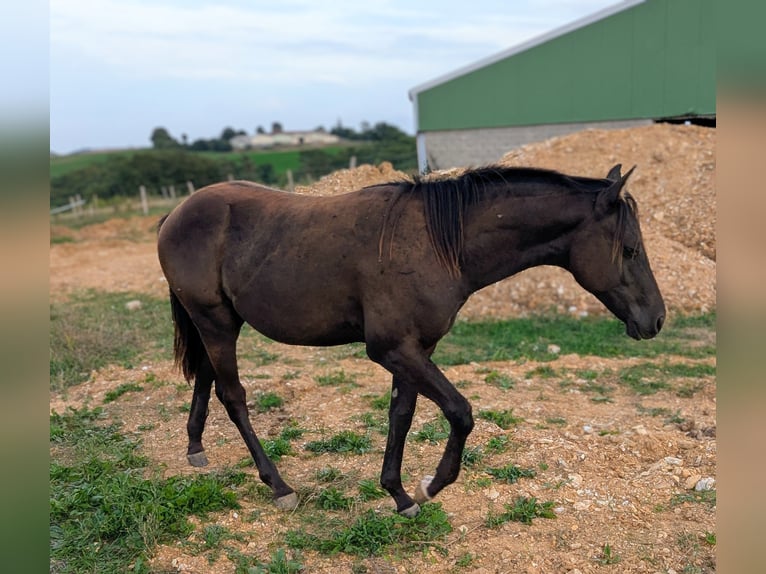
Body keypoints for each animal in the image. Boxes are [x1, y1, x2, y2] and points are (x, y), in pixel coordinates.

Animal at [157, 163, 665, 517]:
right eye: (630, 249)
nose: (657, 319)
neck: (438, 244)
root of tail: (176, 213)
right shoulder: (393, 349)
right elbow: (460, 412)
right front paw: (430, 485)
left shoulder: (416, 349)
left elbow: (401, 414)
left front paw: (399, 494)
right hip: (216, 322)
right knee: (233, 396)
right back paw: (279, 486)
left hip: (218, 323)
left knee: (206, 378)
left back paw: (196, 448)